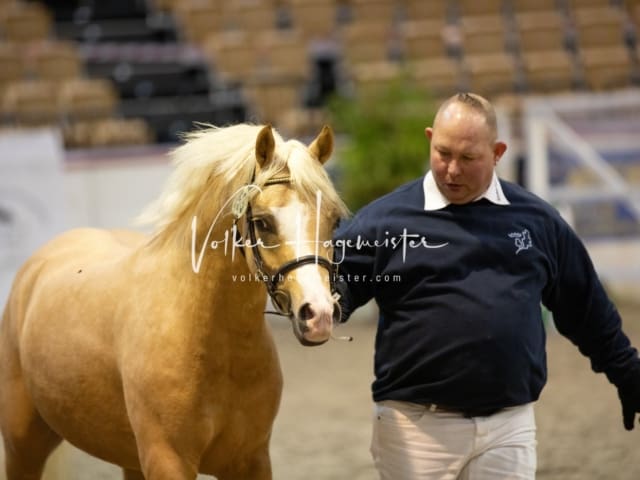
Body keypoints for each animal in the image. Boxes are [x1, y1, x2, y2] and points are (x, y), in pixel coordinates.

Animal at [0, 124, 348, 480]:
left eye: (333, 220)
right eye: (263, 222)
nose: (318, 314)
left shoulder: (251, 460)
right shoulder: (168, 460)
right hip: (22, 444)